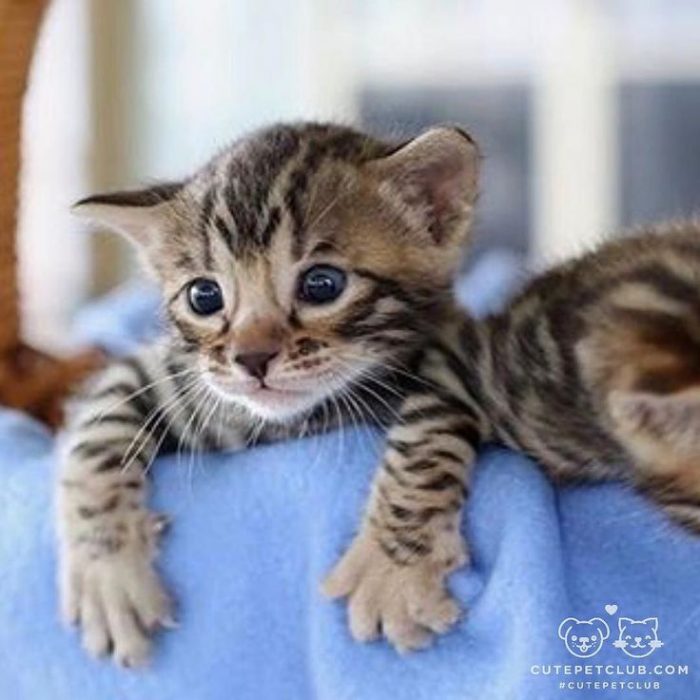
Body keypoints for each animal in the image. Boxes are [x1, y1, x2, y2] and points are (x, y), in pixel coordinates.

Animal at [58, 121, 481, 665]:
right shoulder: (167, 372)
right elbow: (99, 423)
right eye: (204, 296)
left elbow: (431, 428)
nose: (252, 358)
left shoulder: (461, 350)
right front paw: (107, 575)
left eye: (322, 284)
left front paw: (395, 571)